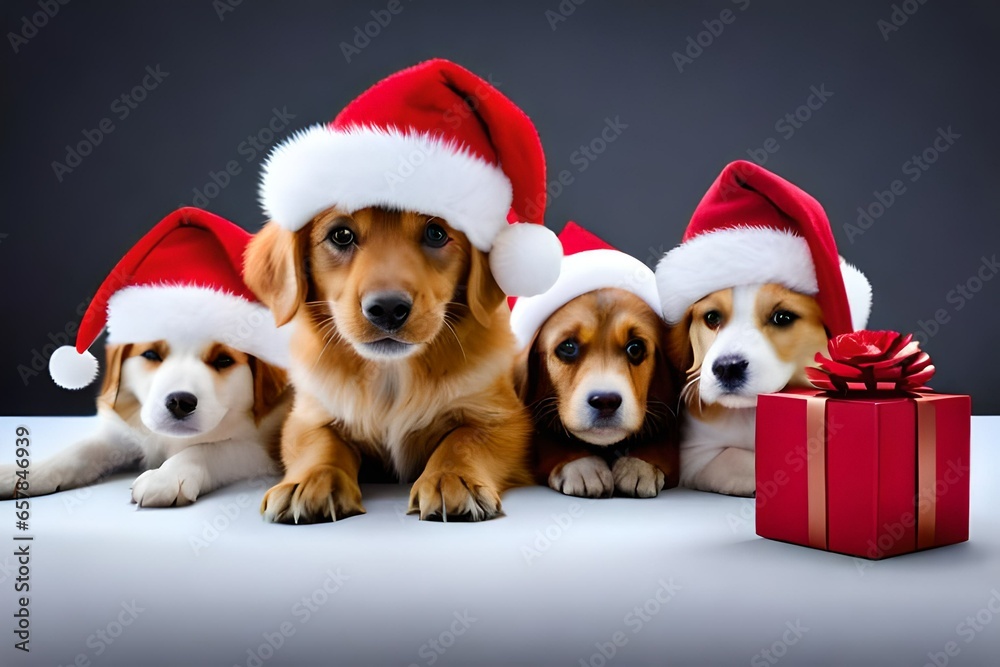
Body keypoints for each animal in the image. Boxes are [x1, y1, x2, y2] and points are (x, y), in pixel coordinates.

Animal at [246, 206, 536, 524]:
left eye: (436, 234)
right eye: (341, 235)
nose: (387, 308)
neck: (391, 372)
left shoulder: (500, 415)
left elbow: (463, 440)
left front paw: (451, 478)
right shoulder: (309, 413)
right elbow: (320, 444)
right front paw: (311, 480)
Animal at [516, 227, 680, 498]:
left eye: (635, 348)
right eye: (568, 347)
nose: (606, 401)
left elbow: (665, 445)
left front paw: (640, 465)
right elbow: (548, 443)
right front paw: (582, 466)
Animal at [656, 160, 868, 496]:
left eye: (782, 318)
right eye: (712, 318)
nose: (727, 368)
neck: (749, 412)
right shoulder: (692, 455)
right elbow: (734, 458)